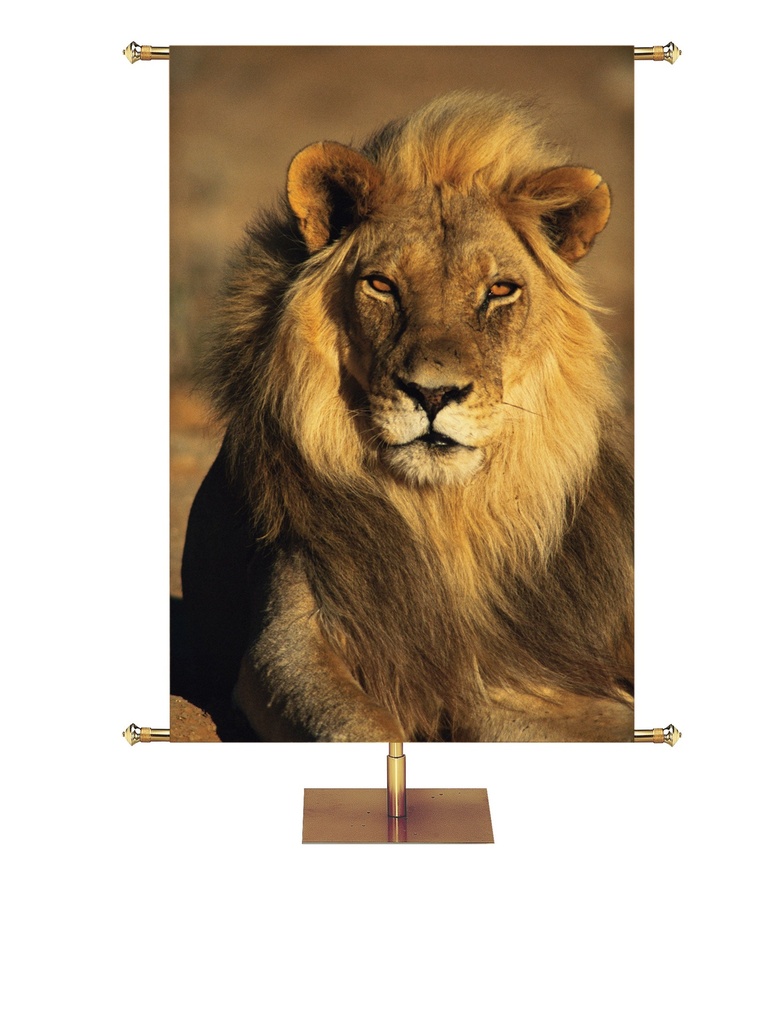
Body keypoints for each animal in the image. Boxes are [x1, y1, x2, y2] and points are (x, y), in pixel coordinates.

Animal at [181, 92, 634, 742]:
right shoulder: (288, 639)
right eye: (381, 285)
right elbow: (358, 728)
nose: (433, 394)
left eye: (499, 290)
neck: (447, 516)